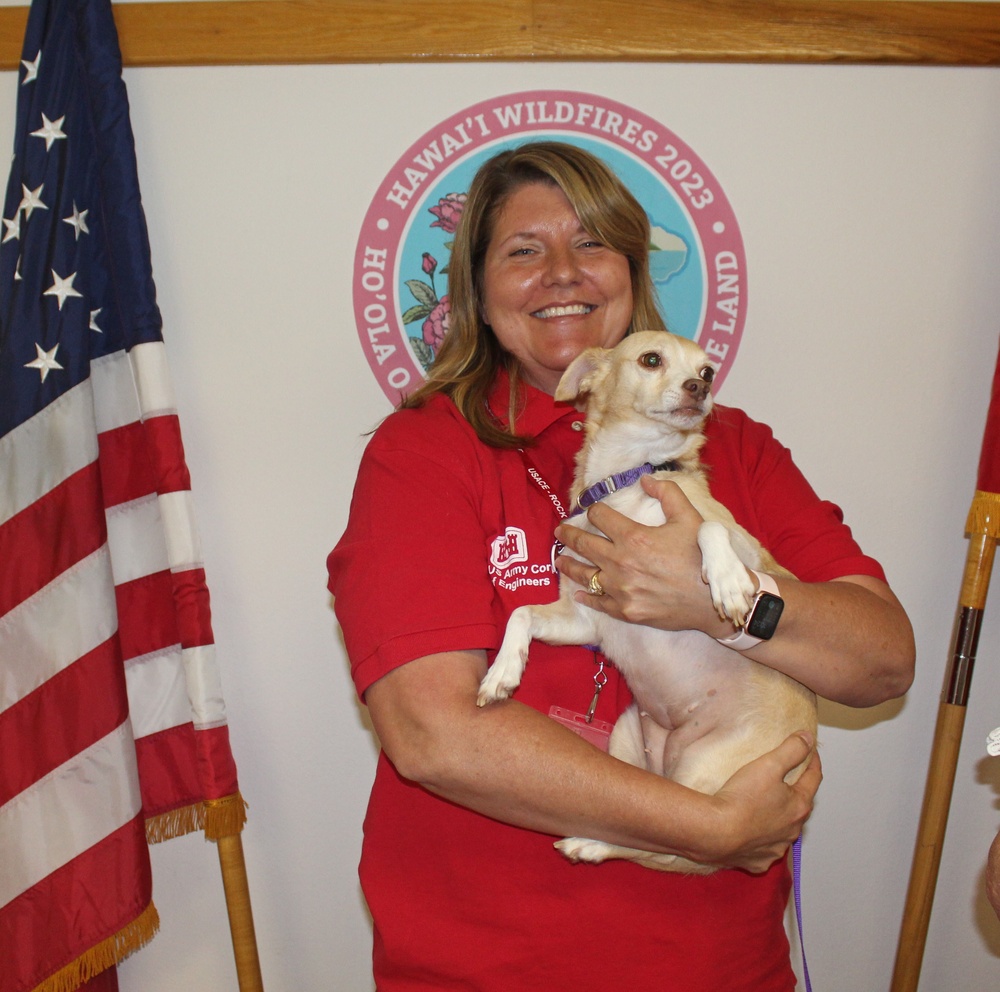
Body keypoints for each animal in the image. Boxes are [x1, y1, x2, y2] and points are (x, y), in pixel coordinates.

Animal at [480, 332, 816, 868]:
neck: (628, 478)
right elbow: (521, 613)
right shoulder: (585, 616)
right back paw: (592, 841)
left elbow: (708, 527)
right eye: (651, 359)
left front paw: (727, 583)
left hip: (712, 785)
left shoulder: (751, 549)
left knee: (677, 846)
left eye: (708, 369)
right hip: (628, 739)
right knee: (654, 828)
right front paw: (502, 672)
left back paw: (591, 845)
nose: (699, 387)